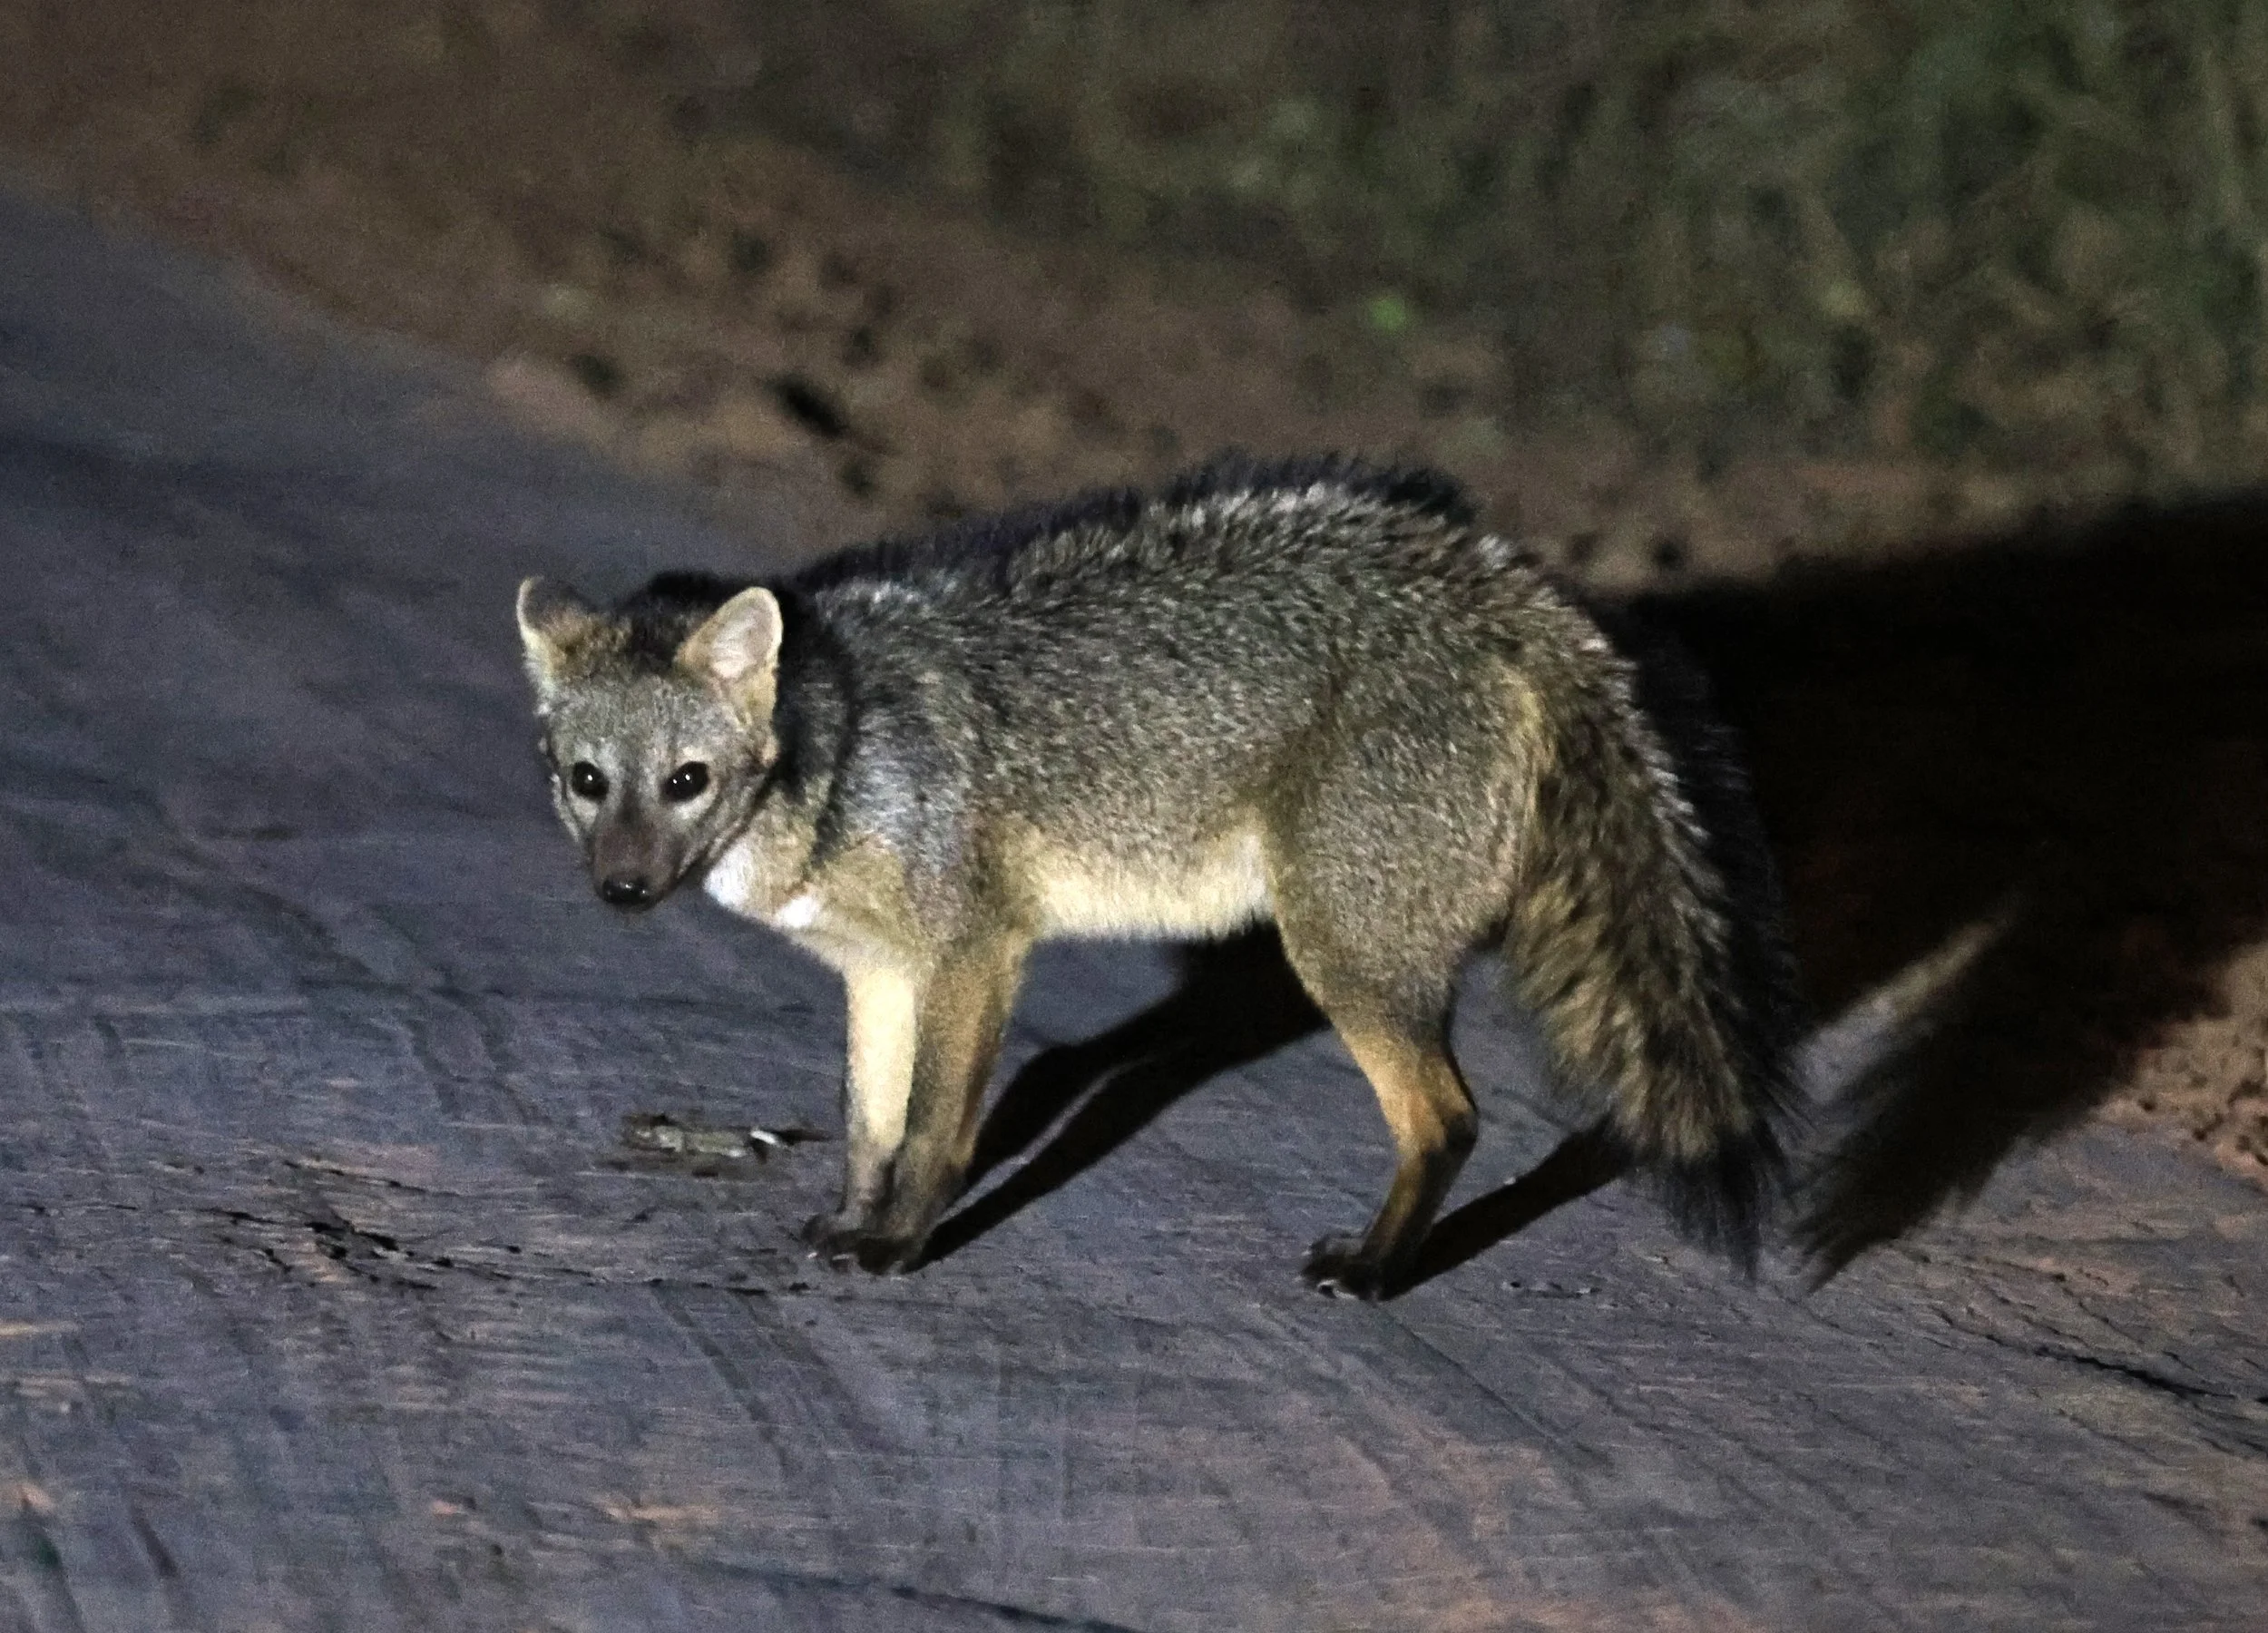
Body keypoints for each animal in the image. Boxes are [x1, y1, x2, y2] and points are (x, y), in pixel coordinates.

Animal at [515, 456, 1804, 1298]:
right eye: (588, 782)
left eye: (685, 781)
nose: (622, 891)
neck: (839, 753)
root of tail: (1500, 587)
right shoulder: (877, 972)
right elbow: (867, 1125)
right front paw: (848, 1221)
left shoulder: (976, 954)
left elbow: (934, 1132)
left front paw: (895, 1248)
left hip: (1342, 961)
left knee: (1448, 1118)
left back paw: (1374, 1271)